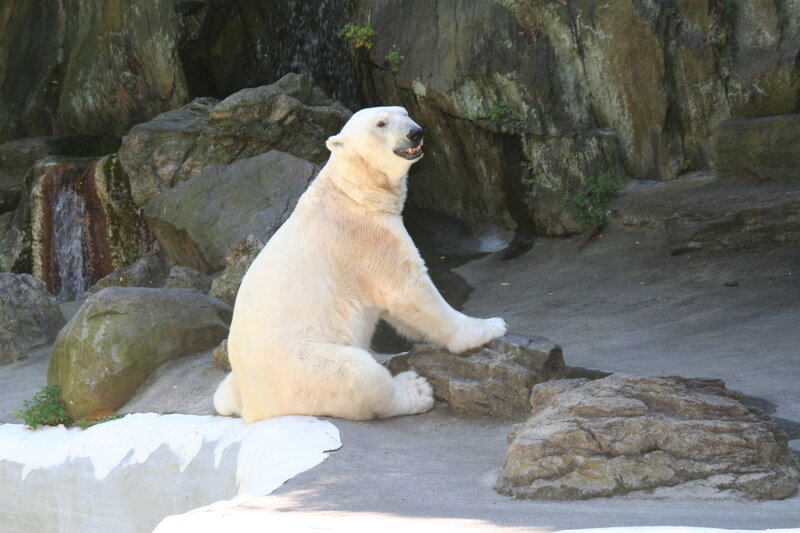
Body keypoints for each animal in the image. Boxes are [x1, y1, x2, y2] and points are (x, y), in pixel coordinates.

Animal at [213, 106, 507, 422]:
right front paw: (489, 326)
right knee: (358, 374)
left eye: (405, 112)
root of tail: (253, 408)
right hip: (304, 366)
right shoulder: (365, 237)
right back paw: (415, 388)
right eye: (381, 123)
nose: (415, 132)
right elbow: (409, 291)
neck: (352, 191)